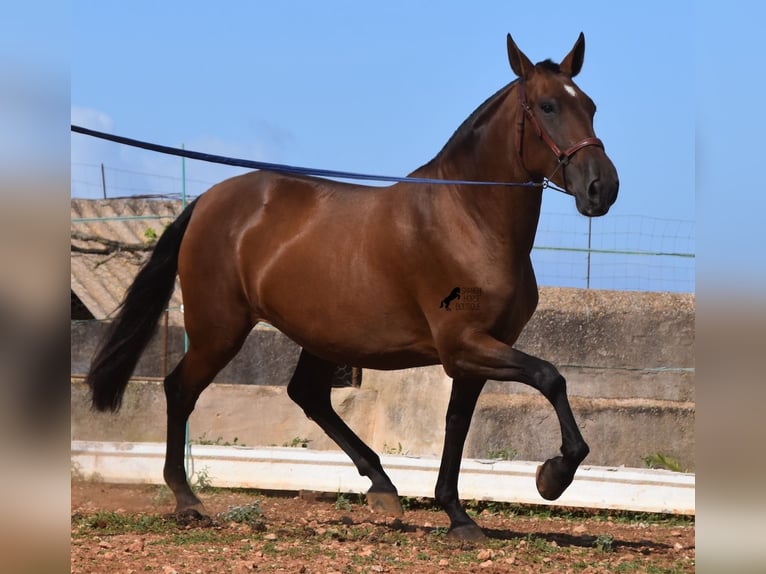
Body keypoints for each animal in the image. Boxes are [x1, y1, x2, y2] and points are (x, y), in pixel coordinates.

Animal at [87, 32, 620, 544]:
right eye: (548, 106)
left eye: (592, 106)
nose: (603, 188)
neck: (469, 218)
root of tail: (206, 202)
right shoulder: (464, 345)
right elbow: (551, 377)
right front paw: (552, 476)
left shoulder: (478, 352)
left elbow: (458, 424)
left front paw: (458, 516)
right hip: (219, 330)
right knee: (180, 389)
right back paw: (187, 500)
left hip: (322, 336)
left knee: (307, 395)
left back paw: (382, 487)